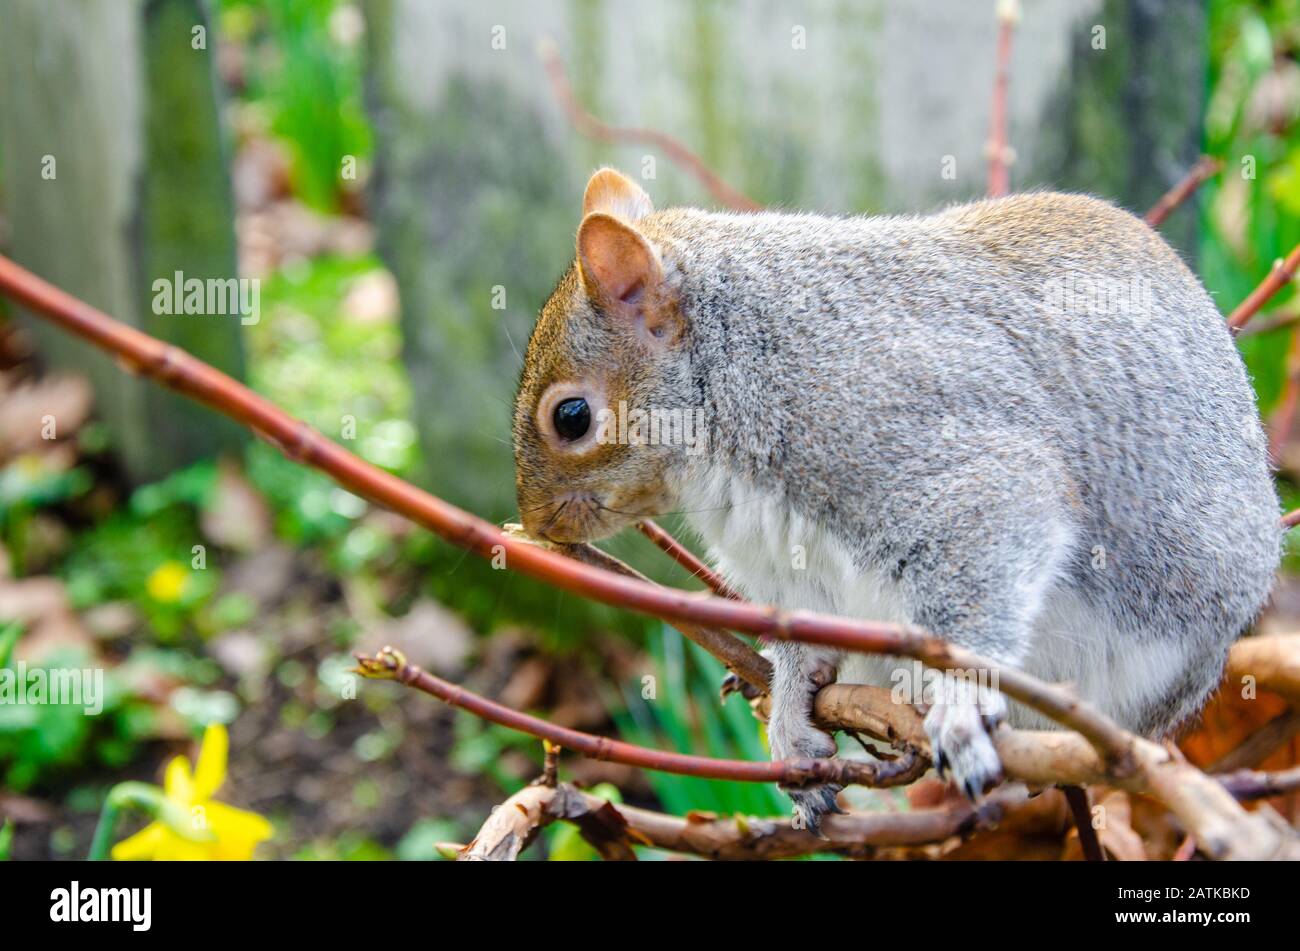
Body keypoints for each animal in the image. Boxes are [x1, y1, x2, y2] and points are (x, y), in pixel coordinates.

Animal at [512, 167, 1281, 831]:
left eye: (572, 417)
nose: (535, 521)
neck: (737, 366)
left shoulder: (923, 442)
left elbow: (992, 533)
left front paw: (961, 698)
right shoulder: (792, 577)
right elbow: (800, 649)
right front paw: (789, 719)